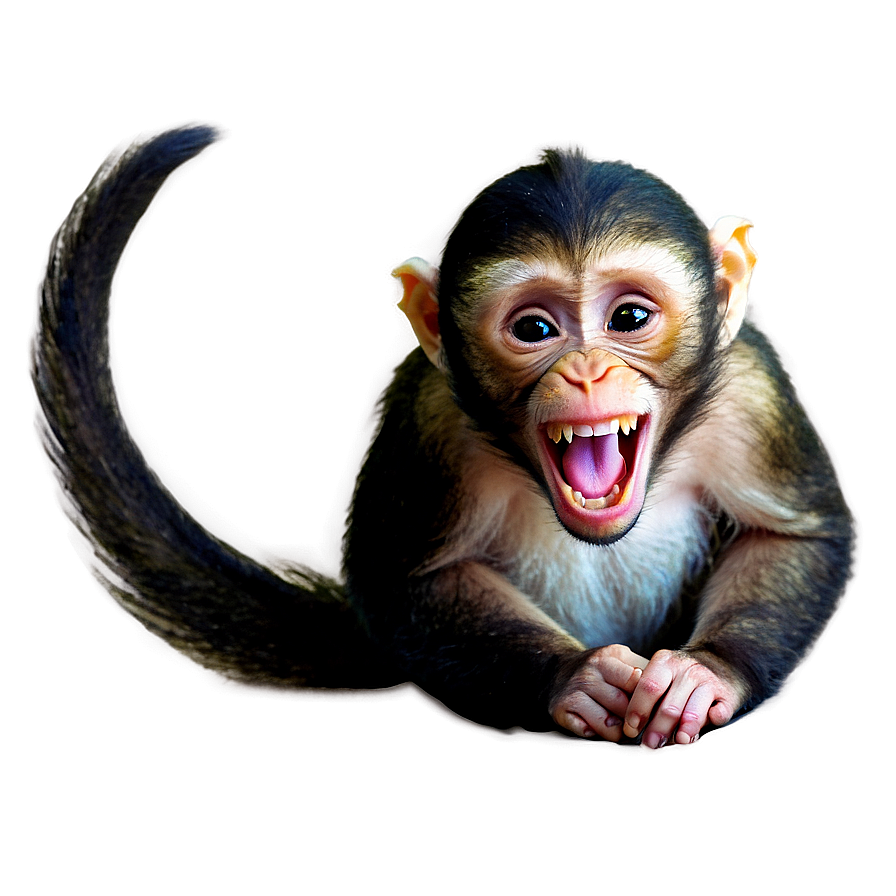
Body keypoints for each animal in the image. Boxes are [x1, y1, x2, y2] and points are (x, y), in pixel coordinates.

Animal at [34, 125, 853, 748]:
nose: (588, 373)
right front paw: (573, 677)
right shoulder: (430, 425)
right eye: (535, 329)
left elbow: (799, 537)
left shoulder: (752, 393)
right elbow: (406, 584)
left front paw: (703, 671)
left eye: (628, 318)